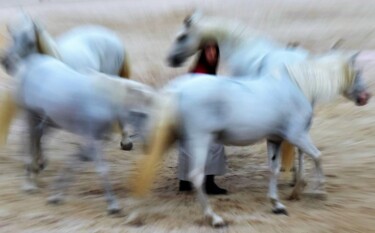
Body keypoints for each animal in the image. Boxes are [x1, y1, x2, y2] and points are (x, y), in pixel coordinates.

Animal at [1, 53, 154, 214]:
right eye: (137, 113)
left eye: (148, 114)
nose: (148, 145)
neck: (103, 101)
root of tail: (30, 63)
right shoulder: (92, 139)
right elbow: (101, 169)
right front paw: (113, 205)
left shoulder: (95, 139)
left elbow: (75, 162)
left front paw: (56, 195)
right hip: (31, 115)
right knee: (29, 143)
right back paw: (29, 183)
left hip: (48, 119)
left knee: (38, 139)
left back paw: (37, 170)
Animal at [131, 53, 370, 227]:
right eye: (357, 72)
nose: (366, 97)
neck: (296, 85)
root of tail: (179, 89)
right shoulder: (297, 136)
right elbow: (318, 157)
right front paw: (319, 191)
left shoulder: (275, 139)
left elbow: (273, 170)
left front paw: (277, 204)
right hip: (199, 140)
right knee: (196, 176)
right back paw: (214, 218)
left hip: (171, 138)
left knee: (147, 169)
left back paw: (136, 214)